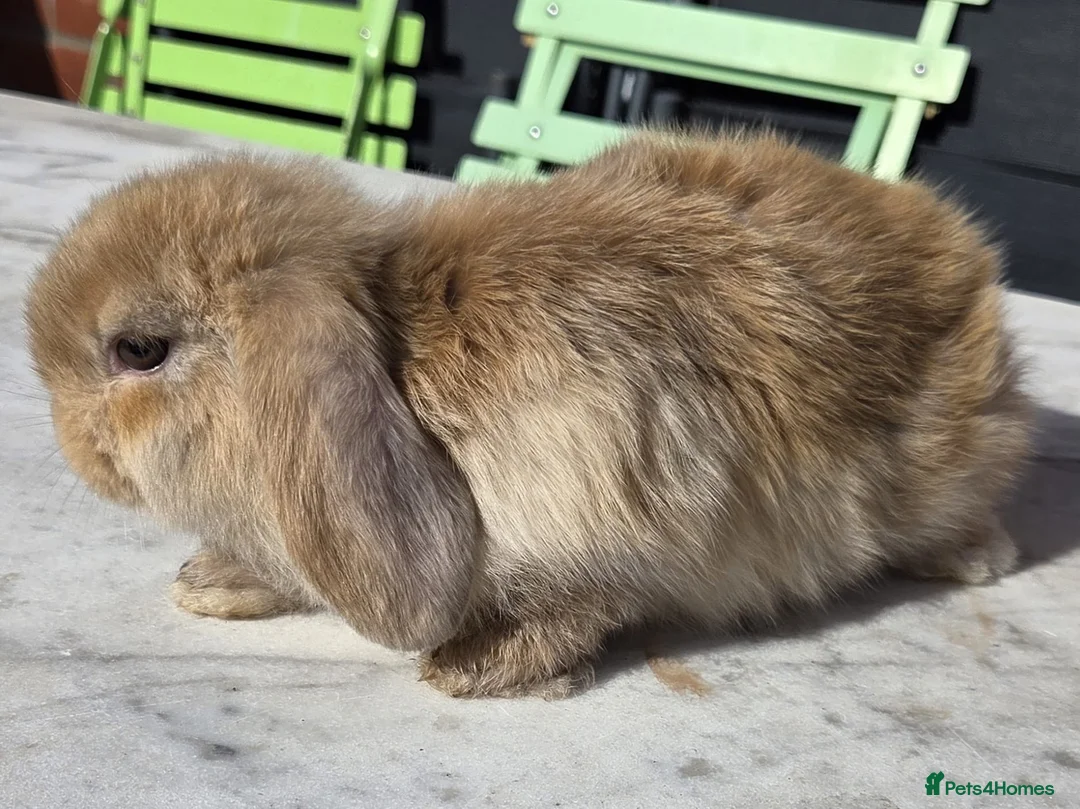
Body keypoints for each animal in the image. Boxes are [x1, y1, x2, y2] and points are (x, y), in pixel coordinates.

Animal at [25, 128, 1034, 698]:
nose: (70, 444)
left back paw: (977, 560)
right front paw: (212, 581)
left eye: (138, 350)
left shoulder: (620, 513)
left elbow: (585, 606)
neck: (399, 348)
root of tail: (967, 248)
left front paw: (474, 668)